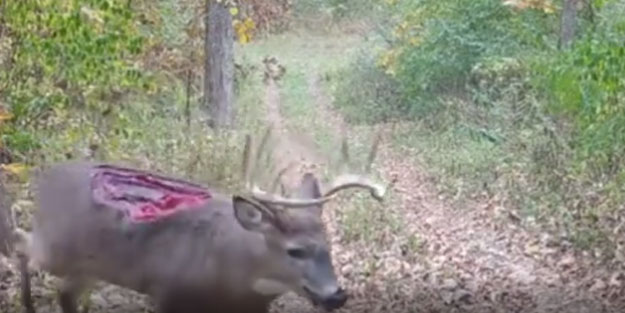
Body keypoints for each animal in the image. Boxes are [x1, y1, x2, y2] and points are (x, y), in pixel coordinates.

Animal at [1, 127, 386, 312]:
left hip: (89, 265)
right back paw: (27, 300)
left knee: (65, 293)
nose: (336, 296)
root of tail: (45, 177)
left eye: (328, 246)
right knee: (22, 245)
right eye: (295, 251)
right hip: (56, 246)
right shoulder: (167, 292)